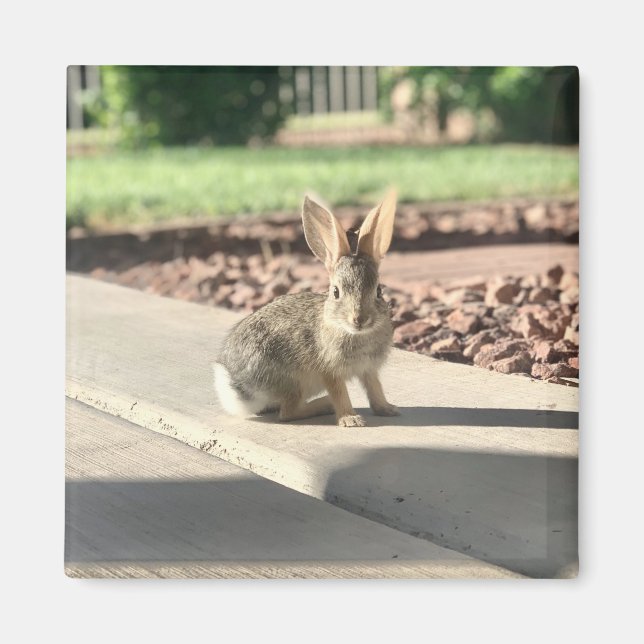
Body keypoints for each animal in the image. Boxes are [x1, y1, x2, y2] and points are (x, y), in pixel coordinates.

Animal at [213, 189, 400, 427]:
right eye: (336, 292)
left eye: (378, 291)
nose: (359, 319)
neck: (353, 332)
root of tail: (239, 386)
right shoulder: (329, 371)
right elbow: (340, 393)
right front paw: (350, 419)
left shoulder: (368, 368)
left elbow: (375, 388)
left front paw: (388, 409)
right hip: (294, 381)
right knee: (288, 413)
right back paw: (324, 404)